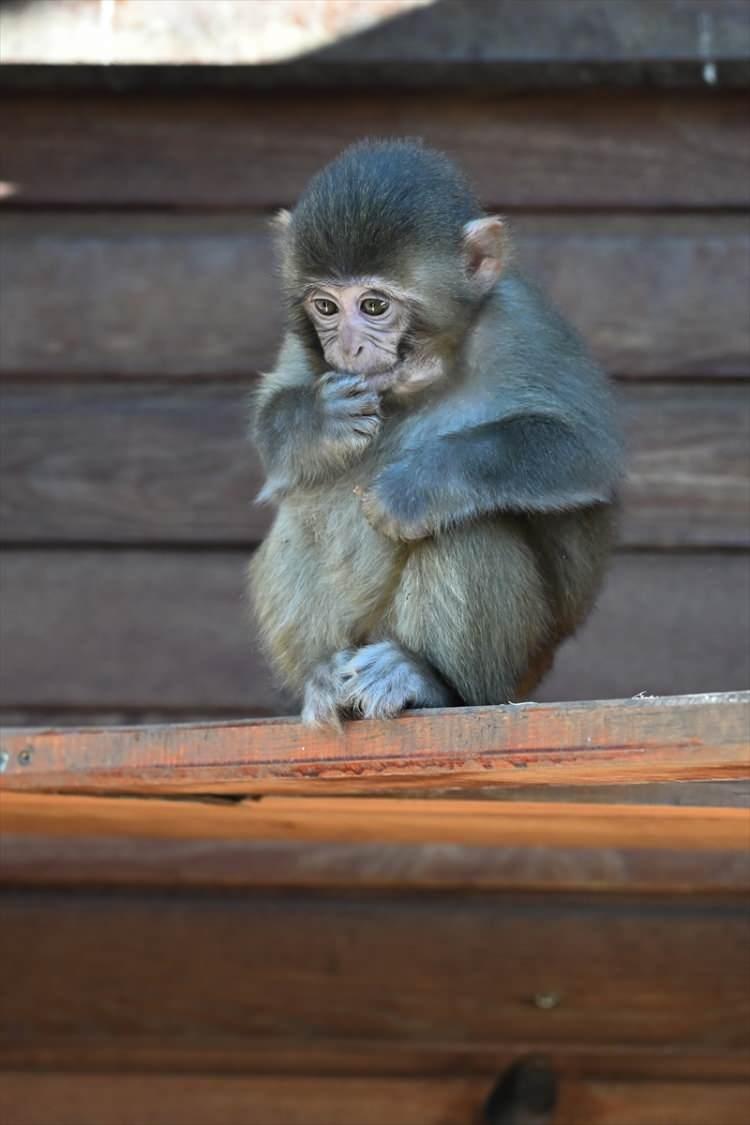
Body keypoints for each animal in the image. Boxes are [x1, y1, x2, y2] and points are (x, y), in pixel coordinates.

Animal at [247, 138, 620, 729]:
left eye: (374, 305)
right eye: (325, 306)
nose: (348, 347)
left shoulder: (523, 322)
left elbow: (585, 451)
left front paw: (418, 484)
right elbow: (270, 433)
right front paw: (320, 418)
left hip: (511, 678)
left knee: (468, 526)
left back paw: (427, 680)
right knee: (300, 514)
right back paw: (323, 675)